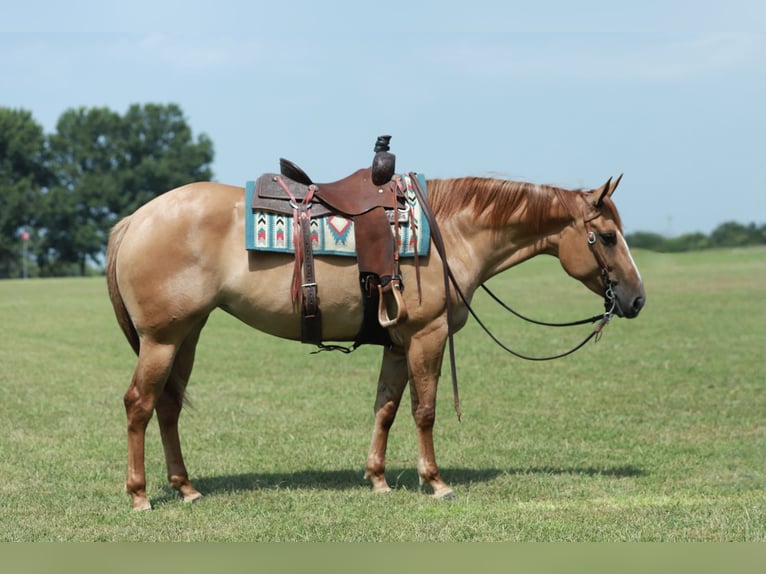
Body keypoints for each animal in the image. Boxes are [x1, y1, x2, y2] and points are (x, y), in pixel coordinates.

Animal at [106, 172, 645, 510]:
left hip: (187, 333)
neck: (452, 232)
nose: (637, 299)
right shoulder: (427, 335)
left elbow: (386, 407)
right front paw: (436, 482)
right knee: (139, 405)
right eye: (608, 236)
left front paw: (378, 479)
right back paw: (140, 494)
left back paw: (186, 488)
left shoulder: (398, 343)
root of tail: (135, 219)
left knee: (168, 406)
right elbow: (424, 411)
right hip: (162, 338)